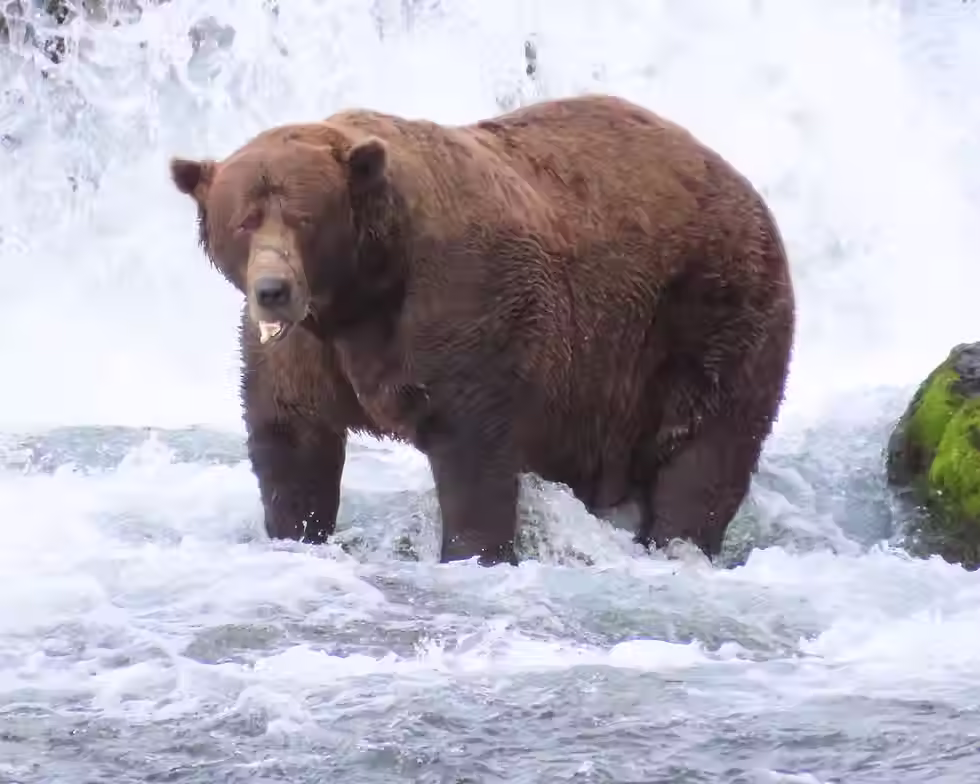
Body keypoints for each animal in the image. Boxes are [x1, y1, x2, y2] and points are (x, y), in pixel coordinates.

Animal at [168, 93, 796, 567]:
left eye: (304, 217)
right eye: (244, 220)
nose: (273, 289)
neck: (360, 295)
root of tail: (739, 180)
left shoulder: (463, 310)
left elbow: (472, 453)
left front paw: (473, 551)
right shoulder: (302, 352)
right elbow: (292, 440)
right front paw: (296, 531)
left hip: (707, 311)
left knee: (705, 450)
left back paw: (677, 542)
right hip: (600, 386)